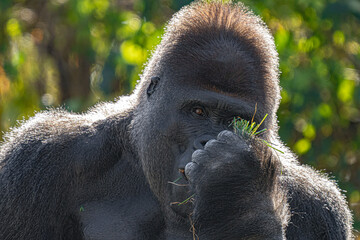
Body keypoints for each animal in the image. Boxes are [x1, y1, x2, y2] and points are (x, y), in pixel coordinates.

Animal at [0, 0, 352, 240]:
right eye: (198, 112)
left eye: (234, 121)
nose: (206, 141)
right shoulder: (39, 157)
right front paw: (237, 184)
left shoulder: (320, 207)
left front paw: (239, 191)